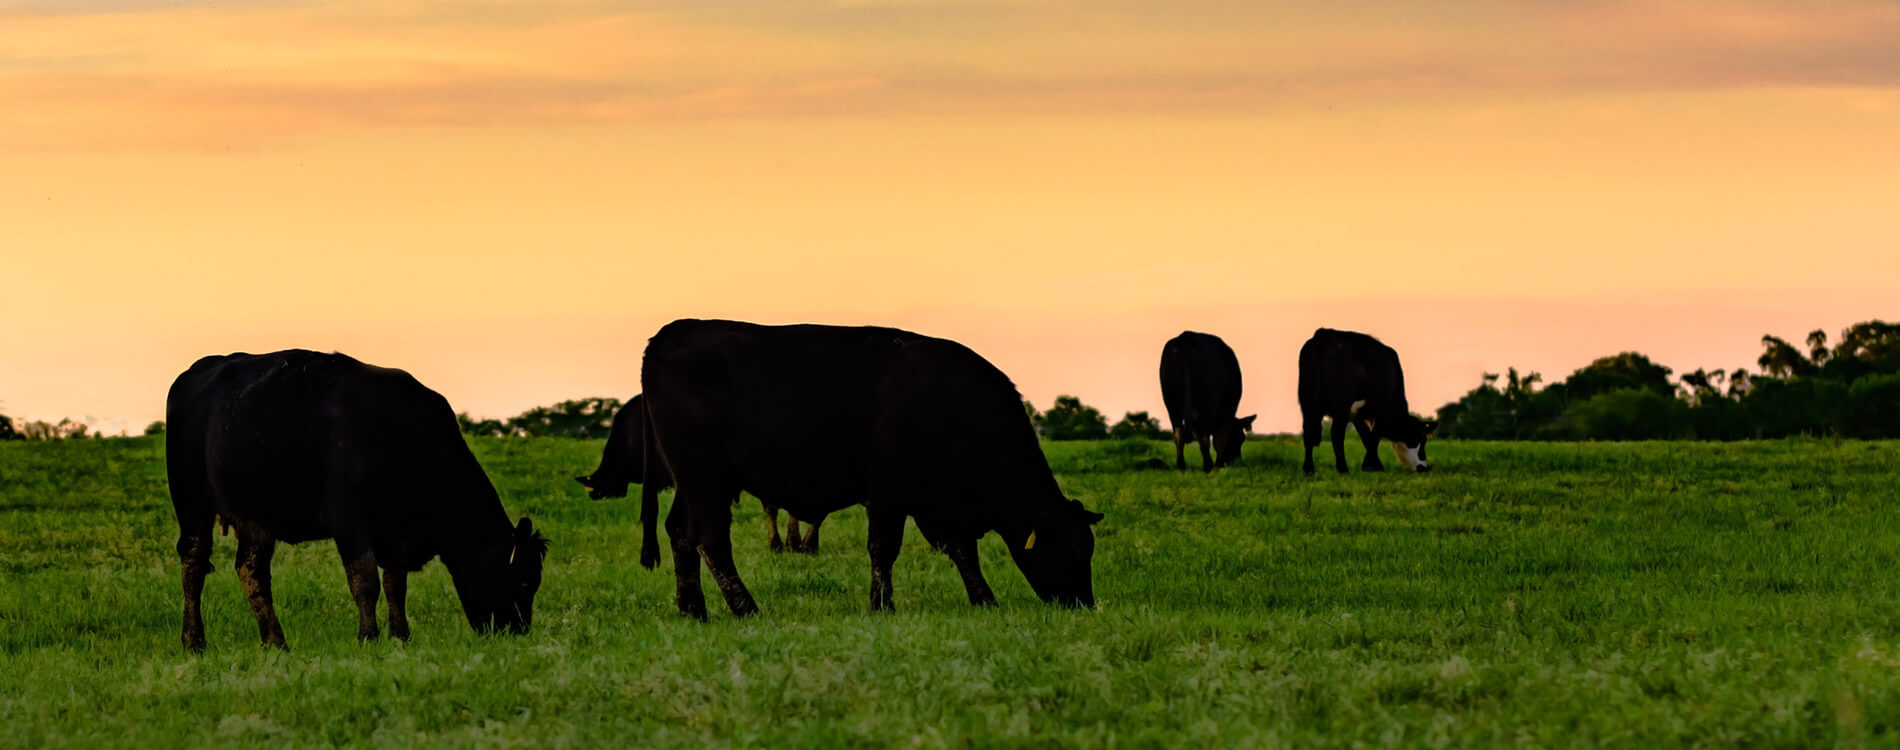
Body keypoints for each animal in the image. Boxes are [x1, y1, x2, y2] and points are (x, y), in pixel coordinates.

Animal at [162, 353, 551, 653]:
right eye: (523, 582)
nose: (518, 632)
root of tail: (201, 367)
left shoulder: (394, 529)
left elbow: (395, 583)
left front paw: (401, 636)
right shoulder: (348, 519)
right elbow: (365, 580)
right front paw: (369, 637)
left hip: (256, 516)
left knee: (251, 570)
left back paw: (276, 642)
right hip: (192, 500)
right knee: (194, 563)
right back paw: (194, 642)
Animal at [638, 320, 1102, 618]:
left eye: (1089, 548)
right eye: (1064, 548)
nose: (1083, 603)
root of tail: (674, 331)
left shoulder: (942, 502)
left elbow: (961, 549)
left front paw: (983, 599)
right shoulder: (889, 492)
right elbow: (884, 548)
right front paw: (882, 605)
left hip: (691, 483)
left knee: (679, 532)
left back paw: (693, 610)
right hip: (705, 478)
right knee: (710, 539)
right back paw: (745, 607)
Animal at [1147, 332, 1254, 472]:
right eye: (1240, 439)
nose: (1235, 461)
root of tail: (1185, 337)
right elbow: (1220, 438)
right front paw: (1217, 465)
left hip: (1172, 402)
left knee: (1178, 433)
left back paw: (1181, 466)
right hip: (1202, 403)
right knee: (1202, 435)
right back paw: (1207, 466)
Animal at [1292, 330, 1436, 476]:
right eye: (1420, 439)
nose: (1424, 467)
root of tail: (1323, 333)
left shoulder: (1358, 414)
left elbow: (1366, 436)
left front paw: (1374, 465)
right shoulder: (1379, 411)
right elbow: (1373, 437)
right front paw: (1370, 465)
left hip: (1307, 402)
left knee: (1309, 432)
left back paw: (1309, 469)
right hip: (1341, 405)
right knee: (1336, 434)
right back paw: (1342, 468)